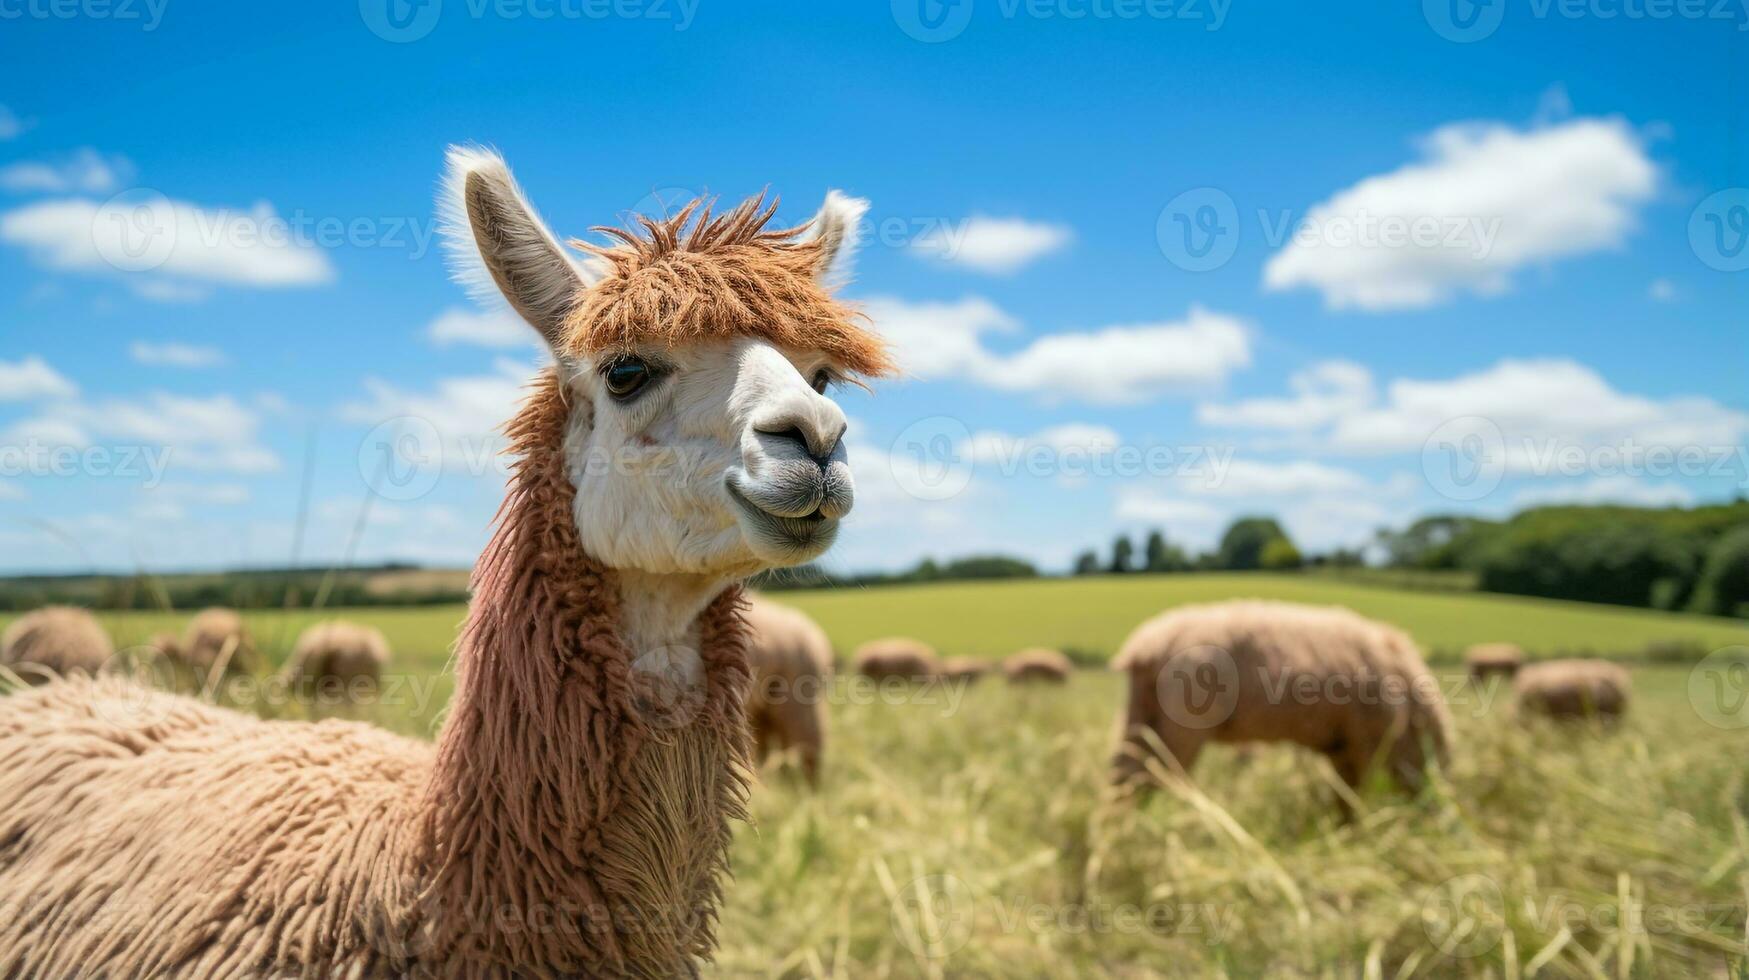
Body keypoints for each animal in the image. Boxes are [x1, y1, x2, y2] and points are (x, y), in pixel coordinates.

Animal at [1112, 602, 1455, 808]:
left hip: (1141, 713)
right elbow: (1359, 796)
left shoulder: (1344, 748)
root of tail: (1146, 645)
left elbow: (1345, 798)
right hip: (1180, 725)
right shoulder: (1367, 744)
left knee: (1123, 771)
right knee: (1149, 775)